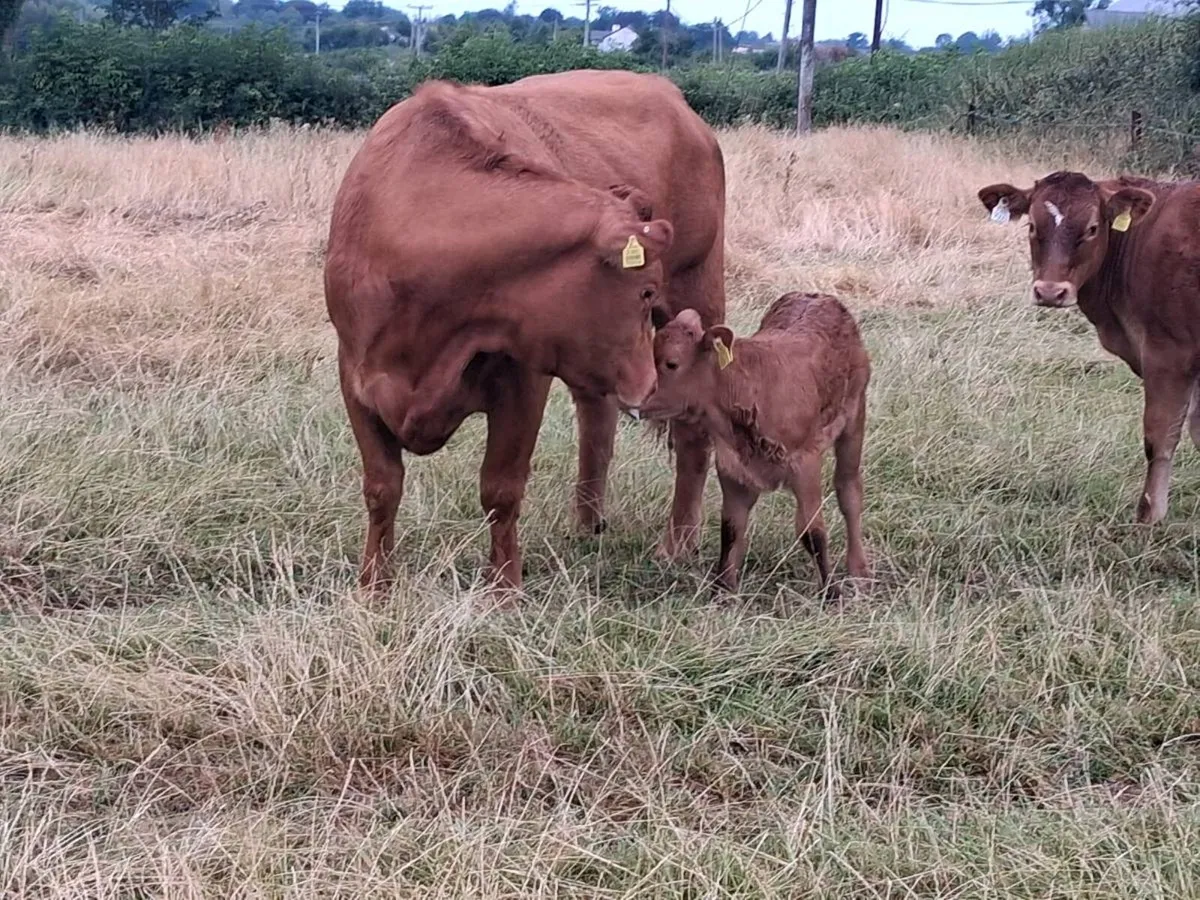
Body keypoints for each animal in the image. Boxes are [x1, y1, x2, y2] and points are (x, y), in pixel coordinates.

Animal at [324, 70, 726, 592]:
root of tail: (668, 92)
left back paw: (677, 543)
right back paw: (587, 523)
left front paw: (504, 589)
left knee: (693, 432)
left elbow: (501, 489)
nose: (649, 384)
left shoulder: (524, 380)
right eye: (644, 290)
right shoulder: (355, 375)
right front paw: (374, 585)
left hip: (700, 290)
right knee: (597, 419)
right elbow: (381, 487)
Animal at [630, 292, 871, 597]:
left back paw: (859, 570)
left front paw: (831, 593)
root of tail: (817, 296)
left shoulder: (805, 463)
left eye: (671, 363)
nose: (638, 402)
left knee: (849, 491)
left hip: (854, 420)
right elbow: (731, 528)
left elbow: (813, 531)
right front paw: (723, 590)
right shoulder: (731, 467)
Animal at [978, 171, 1200, 526]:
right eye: (1032, 226)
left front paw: (1149, 519)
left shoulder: (1168, 353)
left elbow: (1159, 437)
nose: (1049, 292)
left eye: (1093, 228)